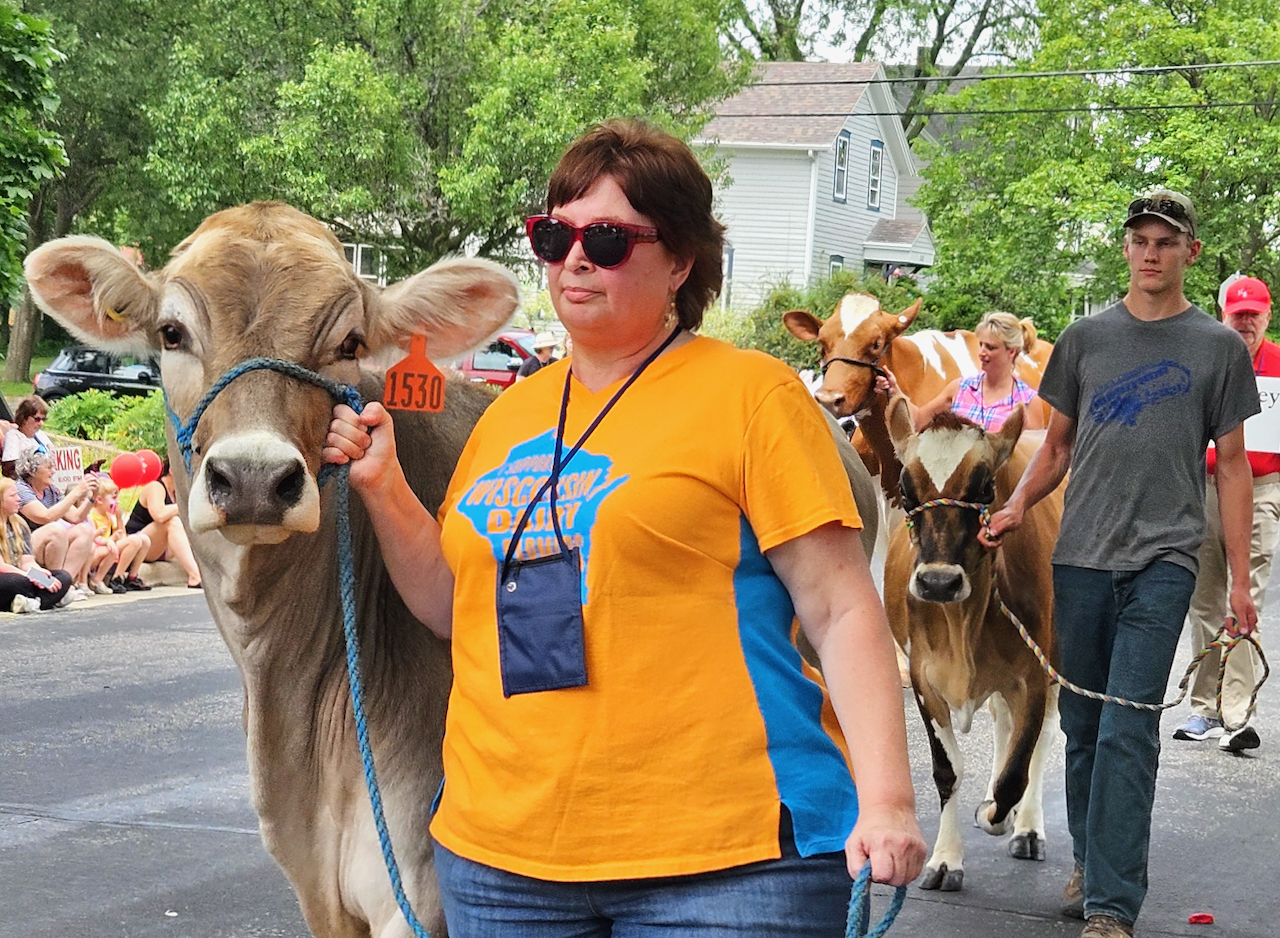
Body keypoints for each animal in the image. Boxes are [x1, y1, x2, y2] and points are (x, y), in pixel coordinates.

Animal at [880, 396, 1059, 890]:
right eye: (905, 490)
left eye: (985, 487)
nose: (938, 582)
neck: (963, 624)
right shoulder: (923, 678)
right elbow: (947, 772)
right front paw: (945, 859)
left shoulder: (1034, 675)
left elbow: (1017, 772)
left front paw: (997, 813)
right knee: (1002, 723)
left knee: (1040, 738)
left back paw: (1027, 827)